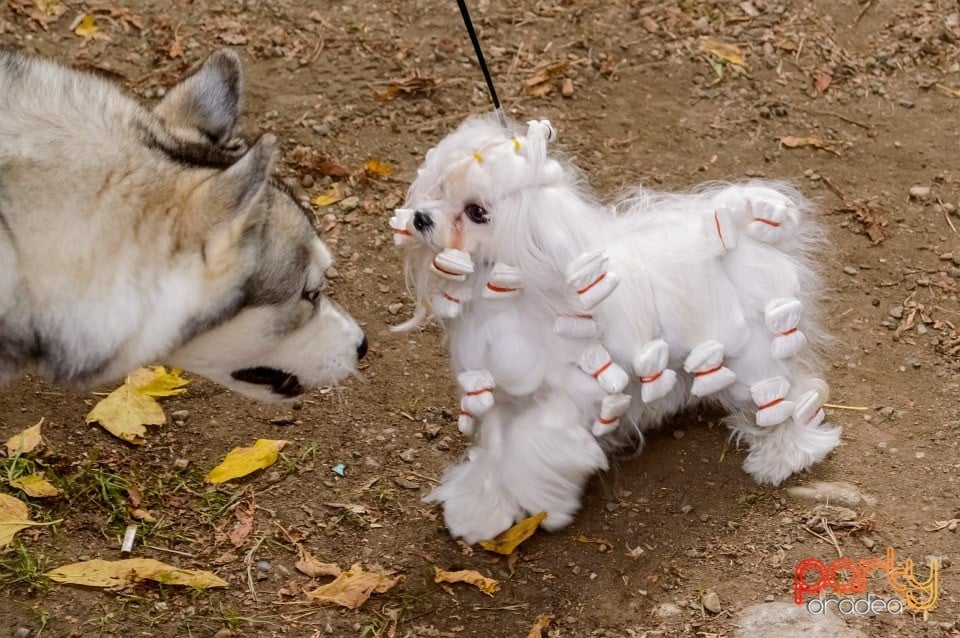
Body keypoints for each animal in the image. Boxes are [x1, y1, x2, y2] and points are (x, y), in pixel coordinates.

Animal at [390, 116, 840, 544]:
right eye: (441, 187)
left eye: (477, 212)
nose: (421, 218)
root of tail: (743, 231)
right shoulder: (504, 399)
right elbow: (496, 456)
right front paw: (477, 513)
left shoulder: (565, 399)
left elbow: (532, 449)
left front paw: (543, 504)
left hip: (752, 353)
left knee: (792, 396)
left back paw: (783, 456)